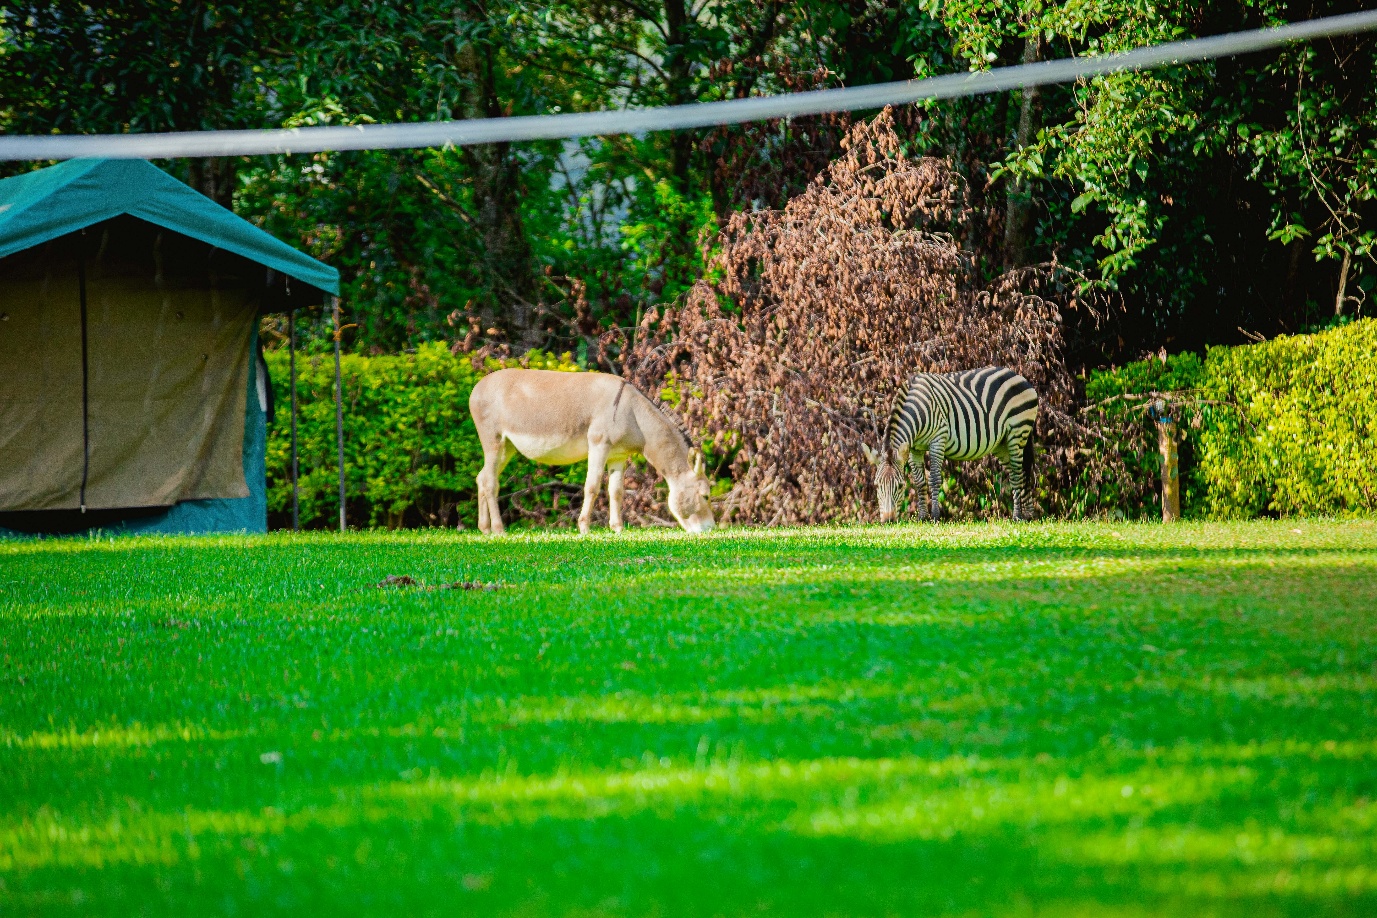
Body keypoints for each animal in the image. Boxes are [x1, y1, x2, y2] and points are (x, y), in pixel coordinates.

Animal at [862, 367, 1039, 522]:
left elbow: (934, 479)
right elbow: (920, 483)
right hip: (1002, 444)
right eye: (877, 486)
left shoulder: (938, 439)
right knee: (1021, 473)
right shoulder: (914, 449)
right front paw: (922, 517)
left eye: (900, 486)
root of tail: (1018, 375)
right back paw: (1028, 515)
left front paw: (934, 516)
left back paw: (1017, 516)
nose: (888, 520)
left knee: (1017, 474)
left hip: (1017, 433)